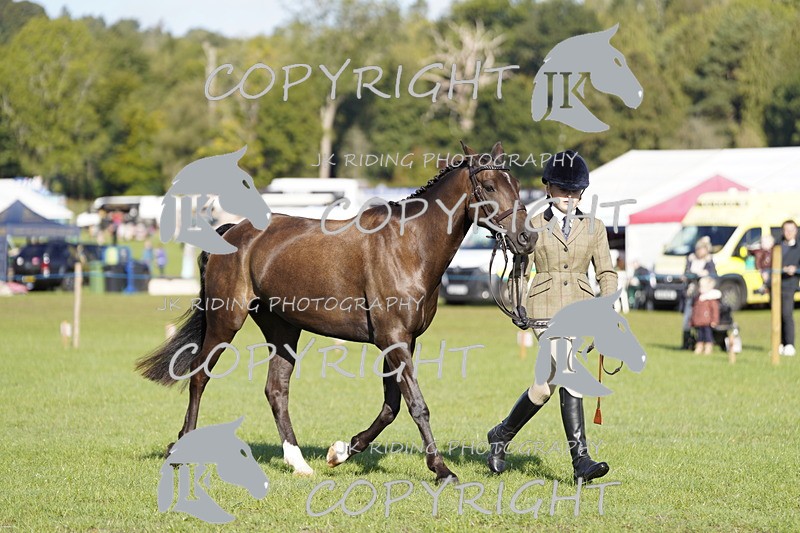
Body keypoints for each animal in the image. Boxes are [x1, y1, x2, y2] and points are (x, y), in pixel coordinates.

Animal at [137, 142, 534, 484]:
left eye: (516, 185)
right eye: (488, 185)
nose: (527, 239)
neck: (408, 246)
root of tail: (233, 230)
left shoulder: (402, 342)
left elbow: (391, 406)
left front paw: (342, 451)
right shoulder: (394, 340)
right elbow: (416, 405)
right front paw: (442, 469)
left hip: (282, 329)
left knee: (276, 390)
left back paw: (298, 462)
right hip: (226, 321)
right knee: (199, 376)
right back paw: (181, 450)